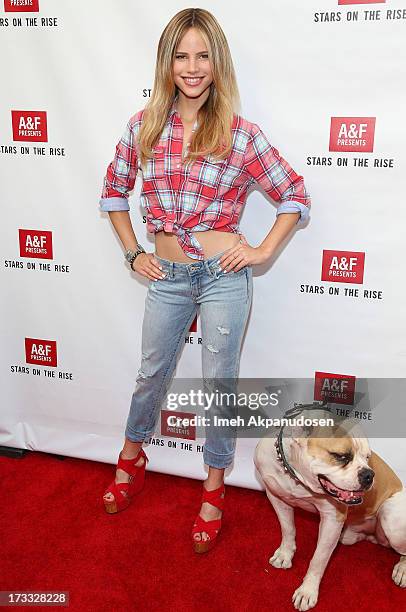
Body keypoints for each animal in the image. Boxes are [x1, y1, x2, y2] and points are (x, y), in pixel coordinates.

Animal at [254, 404, 406, 608]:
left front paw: (307, 591)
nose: (369, 474)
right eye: (341, 457)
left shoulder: (332, 520)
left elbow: (318, 559)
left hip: (391, 518)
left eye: (367, 457)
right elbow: (288, 529)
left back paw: (402, 569)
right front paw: (285, 553)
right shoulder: (276, 497)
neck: (297, 479)